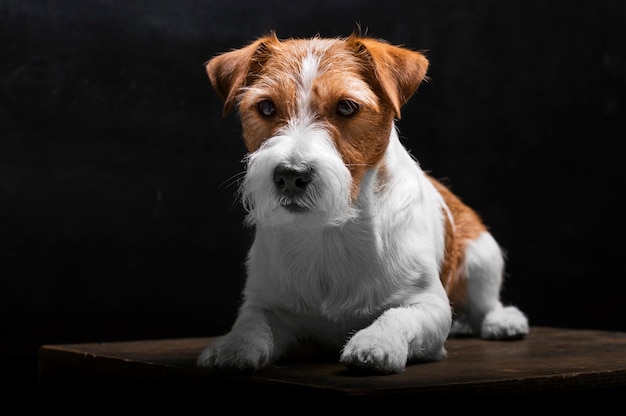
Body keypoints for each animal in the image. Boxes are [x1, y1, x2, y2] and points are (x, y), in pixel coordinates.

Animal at [196, 32, 528, 376]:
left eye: (346, 107)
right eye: (266, 107)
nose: (290, 175)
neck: (328, 231)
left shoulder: (429, 304)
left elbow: (396, 315)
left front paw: (376, 342)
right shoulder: (265, 304)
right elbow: (252, 325)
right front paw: (233, 346)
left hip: (482, 258)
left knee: (486, 302)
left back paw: (502, 321)